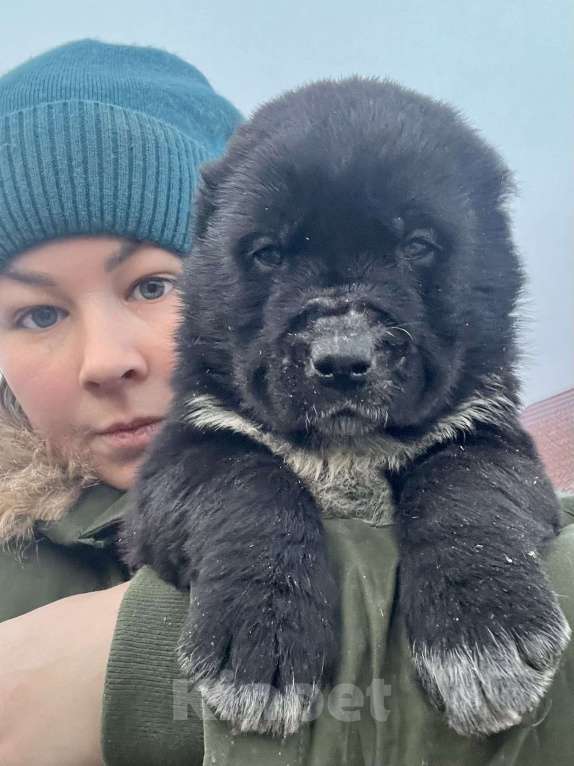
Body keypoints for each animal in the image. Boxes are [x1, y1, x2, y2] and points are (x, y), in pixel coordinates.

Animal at [121, 78, 572, 736]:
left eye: (417, 245)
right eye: (268, 254)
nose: (340, 359)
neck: (346, 446)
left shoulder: (491, 434)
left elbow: (464, 486)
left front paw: (487, 635)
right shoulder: (187, 447)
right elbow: (247, 483)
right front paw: (261, 638)